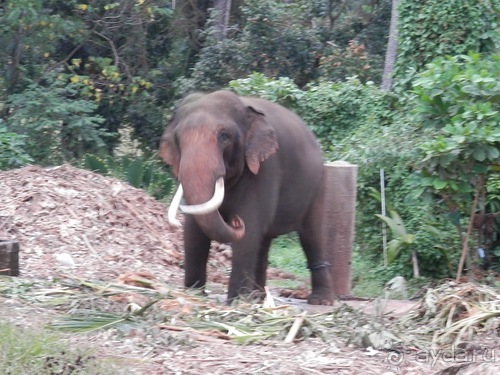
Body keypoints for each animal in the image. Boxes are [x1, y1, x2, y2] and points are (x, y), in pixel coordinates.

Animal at [159, 90, 332, 306]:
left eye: (224, 136)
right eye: (177, 138)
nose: (235, 221)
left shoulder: (265, 168)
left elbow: (249, 232)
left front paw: (236, 303)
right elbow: (194, 231)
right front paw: (194, 295)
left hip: (318, 184)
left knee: (312, 237)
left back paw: (320, 301)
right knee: (264, 242)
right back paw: (257, 298)